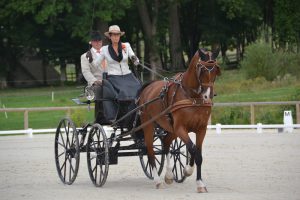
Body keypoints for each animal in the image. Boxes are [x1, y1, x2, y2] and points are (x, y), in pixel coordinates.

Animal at [138, 48, 220, 192]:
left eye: (215, 69)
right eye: (202, 70)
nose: (207, 96)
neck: (192, 96)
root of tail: (148, 87)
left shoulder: (201, 129)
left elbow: (198, 154)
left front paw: (199, 183)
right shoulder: (181, 128)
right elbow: (192, 149)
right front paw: (187, 170)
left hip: (171, 129)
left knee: (166, 143)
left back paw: (169, 175)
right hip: (149, 125)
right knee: (150, 151)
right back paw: (157, 180)